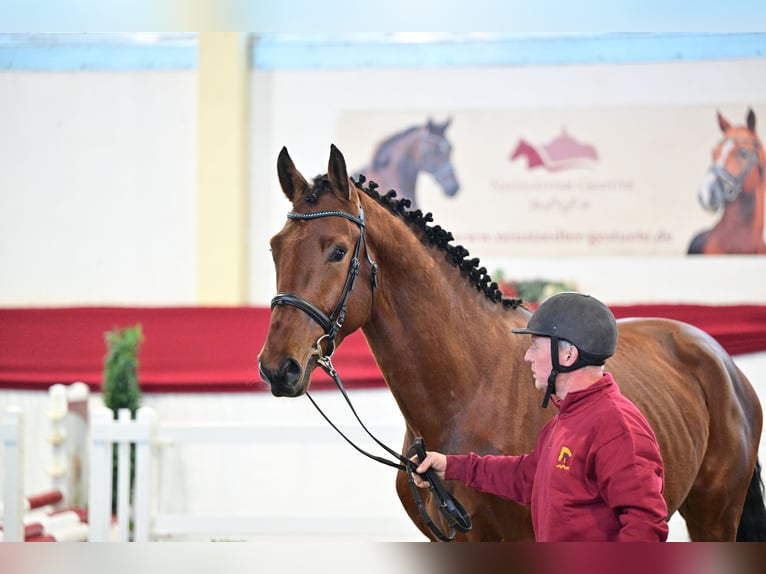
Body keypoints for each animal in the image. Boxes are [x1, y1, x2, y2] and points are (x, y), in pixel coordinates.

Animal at [260, 145, 766, 544]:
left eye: (338, 250)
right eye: (274, 248)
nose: (277, 367)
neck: (468, 390)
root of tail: (719, 359)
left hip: (715, 517)